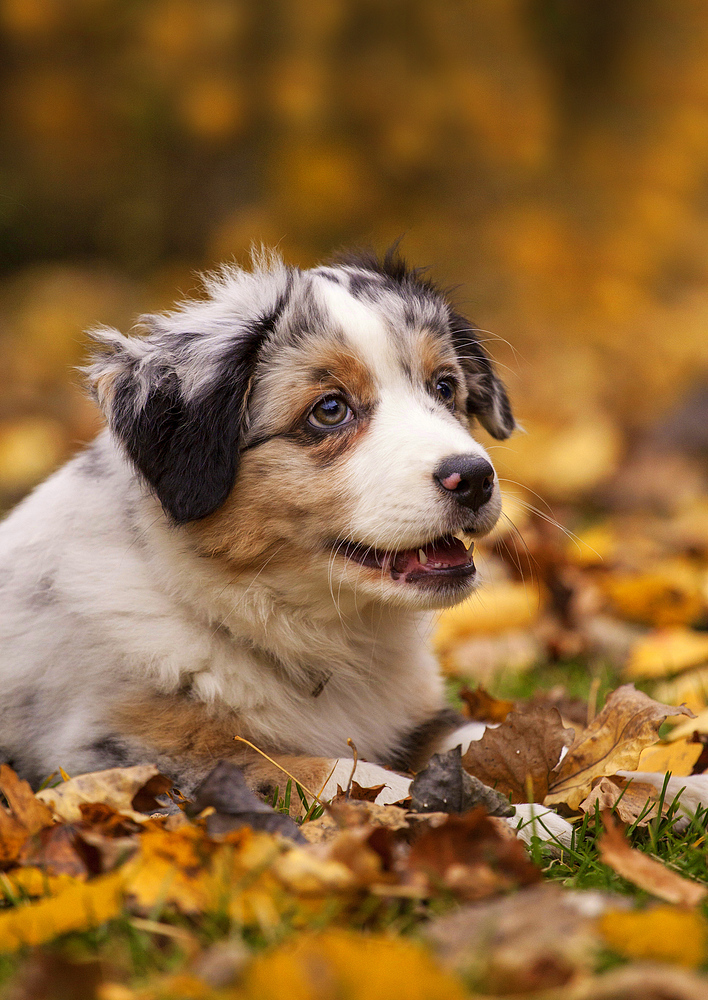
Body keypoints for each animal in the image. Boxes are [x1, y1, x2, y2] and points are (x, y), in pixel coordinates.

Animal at [0, 248, 516, 804]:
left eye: (444, 387)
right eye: (329, 409)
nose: (475, 478)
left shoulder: (415, 713)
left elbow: (488, 733)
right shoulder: (118, 754)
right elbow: (343, 773)